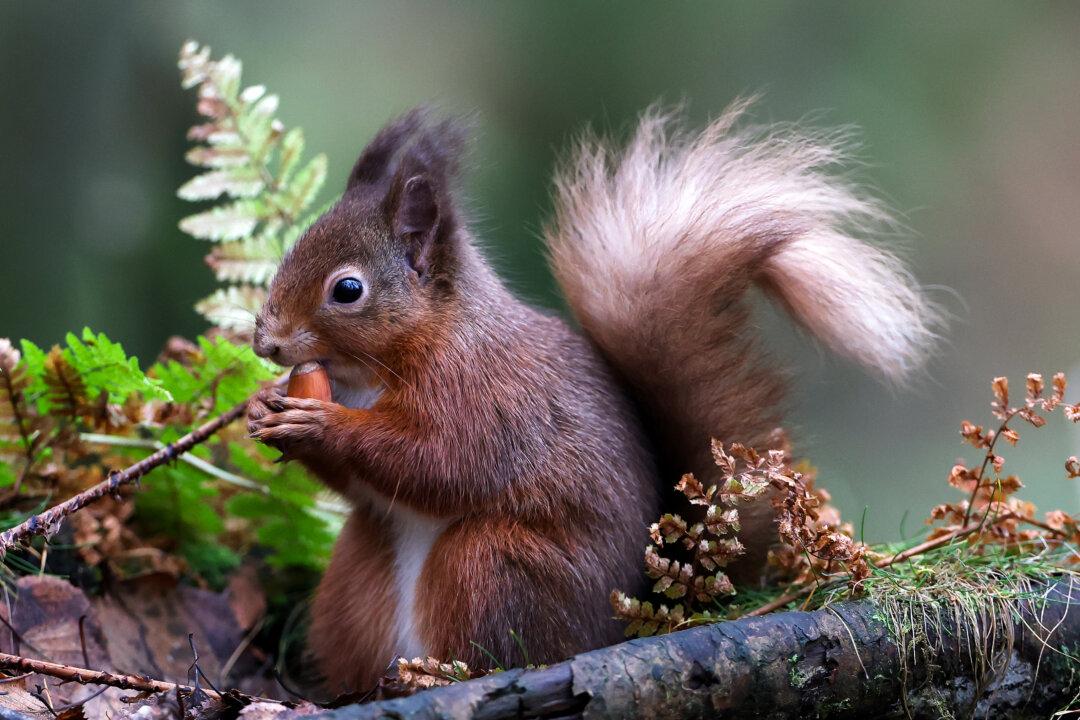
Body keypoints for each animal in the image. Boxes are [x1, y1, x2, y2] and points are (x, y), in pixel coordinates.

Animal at [247, 101, 936, 692]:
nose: (266, 341)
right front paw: (261, 407)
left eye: (348, 289)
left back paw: (434, 677)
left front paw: (321, 424)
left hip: (493, 565)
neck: (373, 374)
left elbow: (444, 462)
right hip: (357, 579)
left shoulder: (489, 395)